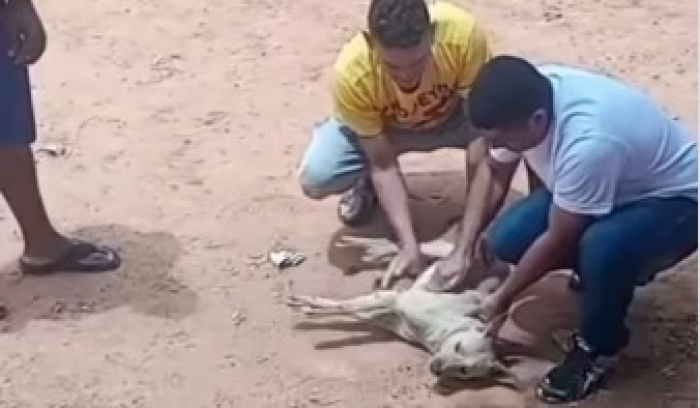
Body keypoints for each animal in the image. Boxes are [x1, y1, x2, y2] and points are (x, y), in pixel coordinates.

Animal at [287, 237, 514, 384]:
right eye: (458, 347)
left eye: (464, 371)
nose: (436, 369)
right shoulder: (396, 300)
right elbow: (345, 305)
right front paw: (307, 305)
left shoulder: (388, 310)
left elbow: (347, 308)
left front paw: (309, 306)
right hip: (440, 251)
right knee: (403, 244)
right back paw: (357, 244)